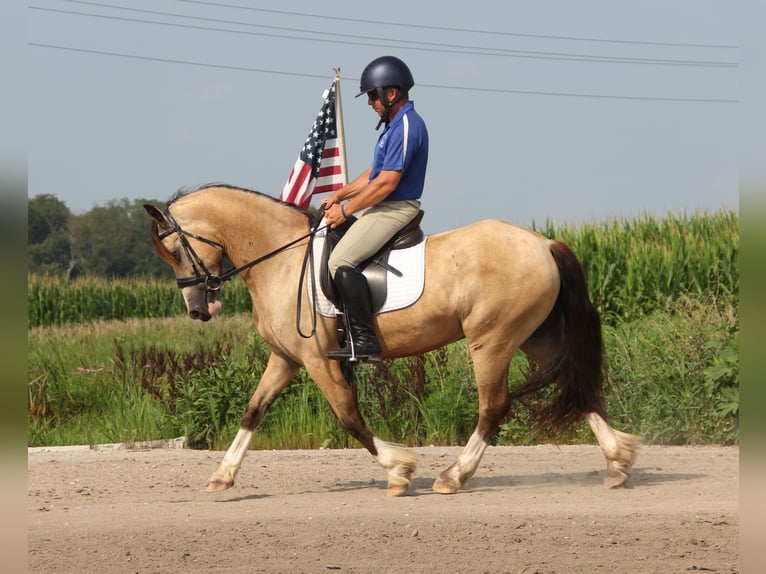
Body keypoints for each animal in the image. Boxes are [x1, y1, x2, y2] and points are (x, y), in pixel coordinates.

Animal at [146, 186, 640, 500]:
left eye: (176, 250)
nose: (198, 309)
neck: (282, 257)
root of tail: (544, 243)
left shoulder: (317, 359)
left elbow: (349, 418)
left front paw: (399, 471)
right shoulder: (286, 357)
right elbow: (253, 411)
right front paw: (222, 476)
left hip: (492, 339)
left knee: (494, 406)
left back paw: (454, 476)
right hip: (534, 337)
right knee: (576, 385)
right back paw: (617, 463)